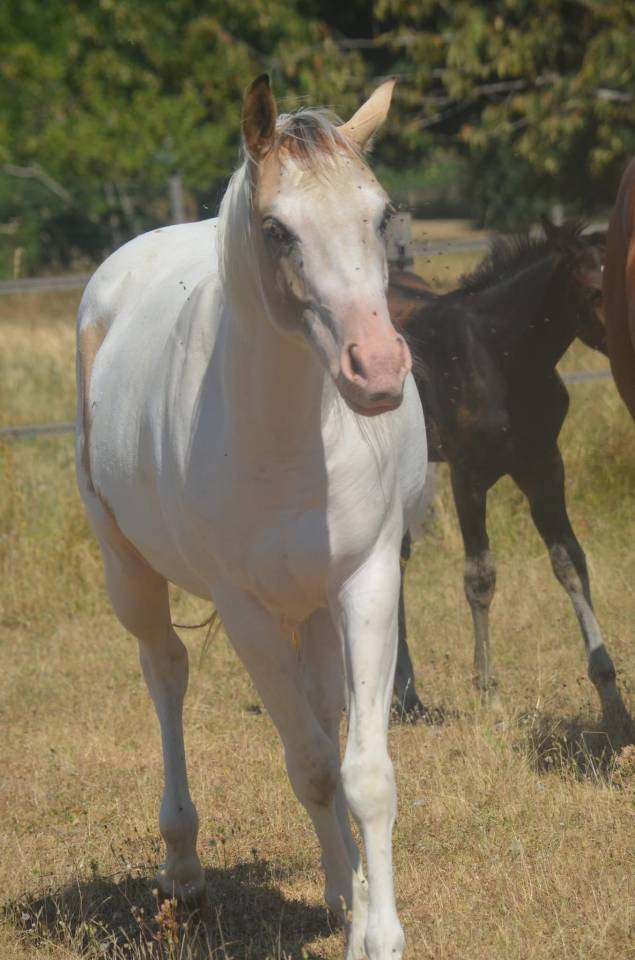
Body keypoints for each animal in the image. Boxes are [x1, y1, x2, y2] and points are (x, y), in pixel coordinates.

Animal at [75, 75, 428, 960]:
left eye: (380, 213)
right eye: (276, 230)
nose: (377, 371)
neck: (289, 434)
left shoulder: (368, 580)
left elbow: (362, 771)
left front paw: (374, 928)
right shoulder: (246, 612)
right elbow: (310, 763)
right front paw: (359, 913)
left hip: (315, 605)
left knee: (324, 713)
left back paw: (339, 887)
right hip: (129, 573)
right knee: (165, 673)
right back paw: (182, 867)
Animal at [390, 220, 629, 733]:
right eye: (593, 291)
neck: (500, 353)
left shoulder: (542, 466)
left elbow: (570, 562)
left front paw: (612, 700)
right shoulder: (467, 475)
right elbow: (480, 576)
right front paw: (490, 695)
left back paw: (407, 698)